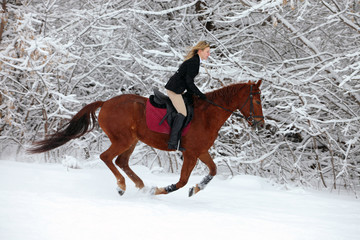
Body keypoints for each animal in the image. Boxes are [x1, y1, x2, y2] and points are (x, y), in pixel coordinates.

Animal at [28, 79, 264, 196]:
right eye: (257, 100)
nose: (260, 124)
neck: (207, 115)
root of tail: (106, 103)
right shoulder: (191, 153)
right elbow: (181, 181)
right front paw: (158, 190)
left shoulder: (201, 151)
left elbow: (213, 171)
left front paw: (196, 189)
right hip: (122, 140)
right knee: (107, 158)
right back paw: (123, 186)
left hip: (132, 141)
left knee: (121, 161)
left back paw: (139, 185)